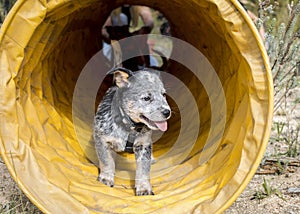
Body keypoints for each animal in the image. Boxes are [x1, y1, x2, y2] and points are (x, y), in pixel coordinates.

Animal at [94, 67, 171, 196]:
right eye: (146, 98)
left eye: (164, 94)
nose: (167, 112)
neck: (129, 127)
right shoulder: (102, 139)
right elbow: (106, 161)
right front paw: (106, 178)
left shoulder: (143, 145)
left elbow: (143, 168)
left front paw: (144, 187)